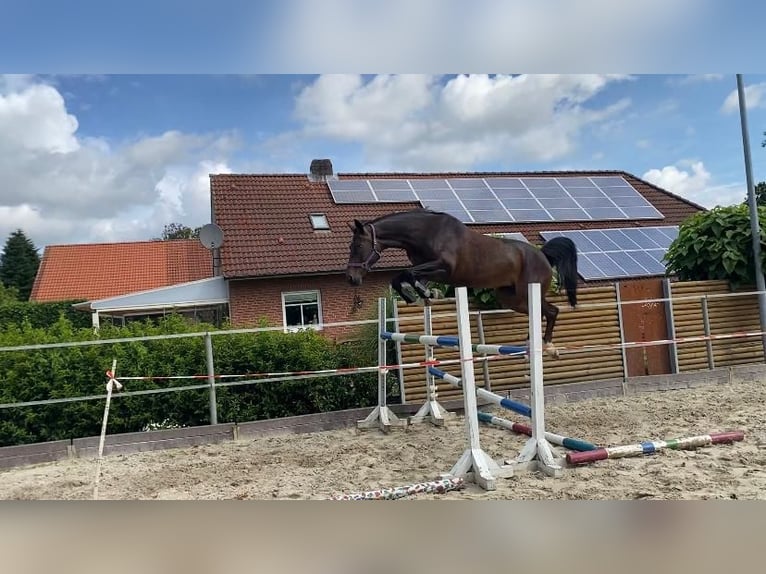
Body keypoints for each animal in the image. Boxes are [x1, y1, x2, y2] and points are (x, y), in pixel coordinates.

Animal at [344, 207, 580, 360]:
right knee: (541, 313)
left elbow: (406, 273)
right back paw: (531, 346)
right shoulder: (430, 270)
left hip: (527, 293)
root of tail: (543, 255)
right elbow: (403, 278)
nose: (351, 278)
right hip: (510, 297)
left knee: (551, 311)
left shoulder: (443, 267)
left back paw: (548, 346)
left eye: (357, 245)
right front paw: (420, 296)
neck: (425, 232)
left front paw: (424, 294)